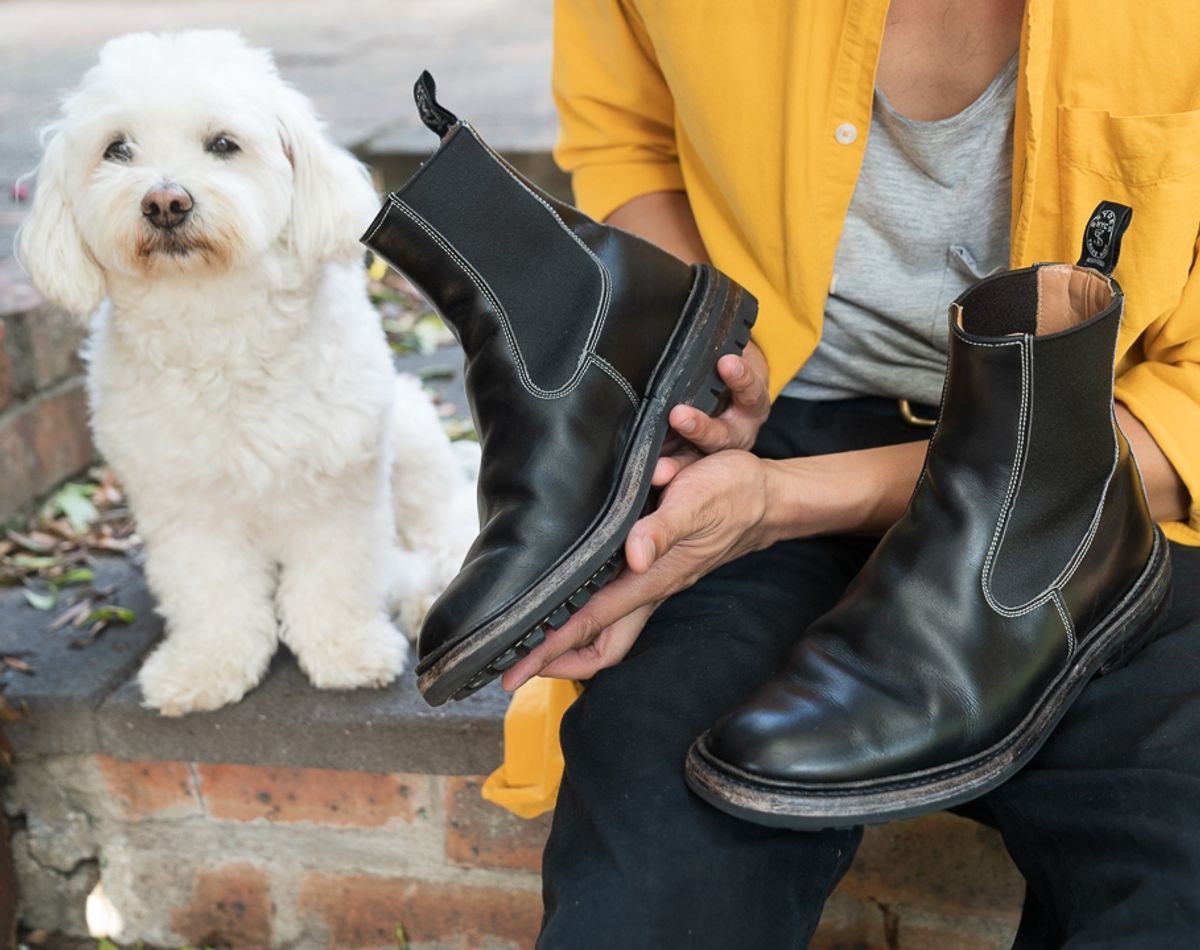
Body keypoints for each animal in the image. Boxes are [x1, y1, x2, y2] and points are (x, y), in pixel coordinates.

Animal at [17, 27, 477, 710]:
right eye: (117, 149)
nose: (165, 201)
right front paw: (208, 666)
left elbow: (336, 574)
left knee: (447, 527)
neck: (215, 325)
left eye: (223, 144)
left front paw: (346, 648)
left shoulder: (338, 483)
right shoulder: (183, 502)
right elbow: (210, 590)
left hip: (414, 438)